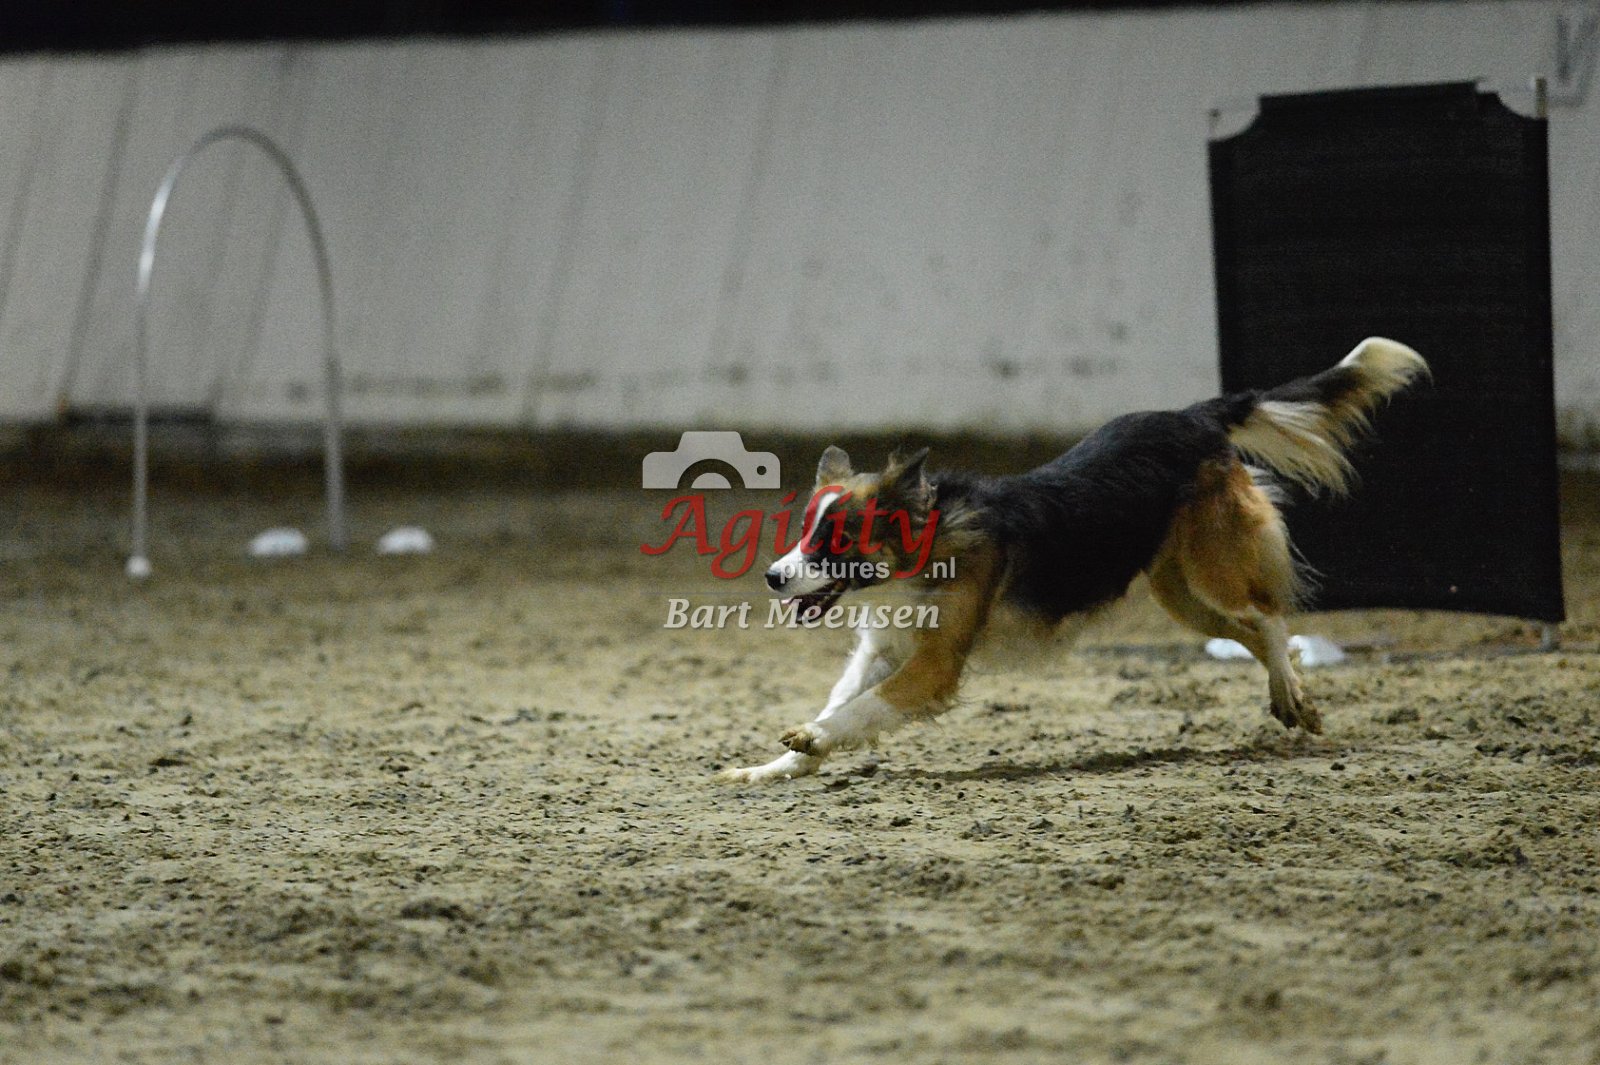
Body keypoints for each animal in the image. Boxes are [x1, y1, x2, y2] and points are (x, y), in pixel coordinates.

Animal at [718, 337, 1428, 784]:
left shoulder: (933, 664)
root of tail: (1193, 416)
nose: (774, 576)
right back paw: (1296, 702)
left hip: (1213, 570)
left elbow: (861, 709)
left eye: (835, 541)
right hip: (1182, 596)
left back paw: (1288, 689)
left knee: (1269, 617)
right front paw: (776, 765)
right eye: (804, 533)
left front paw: (811, 741)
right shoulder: (884, 648)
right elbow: (839, 702)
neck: (926, 551)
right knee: (1252, 630)